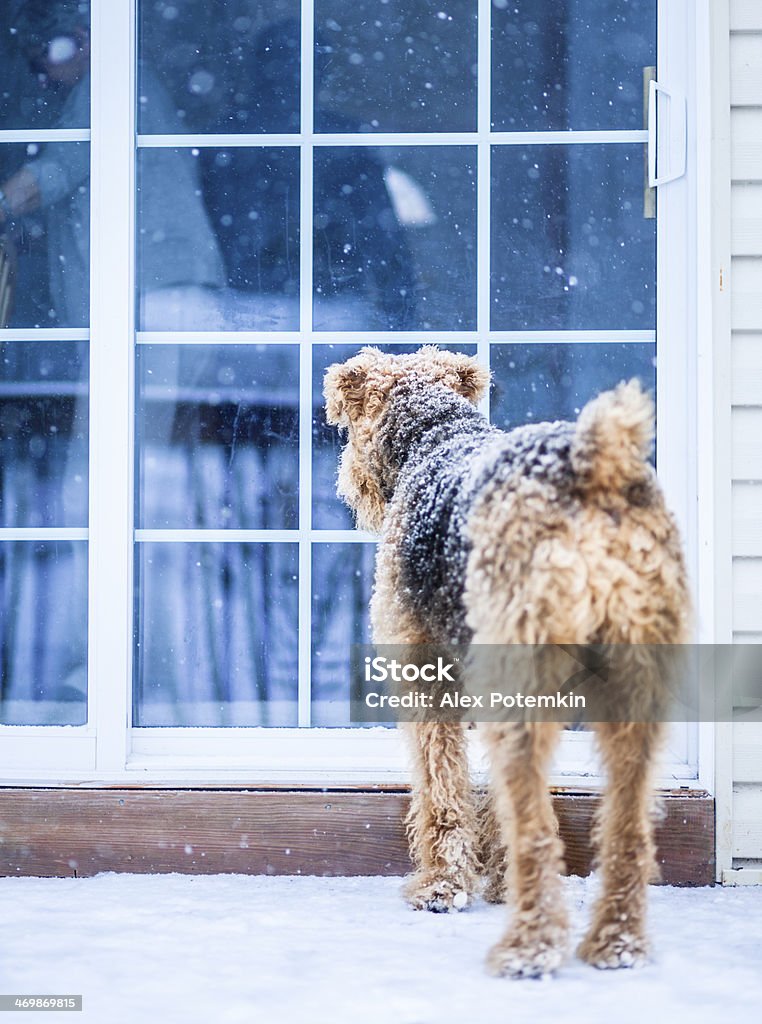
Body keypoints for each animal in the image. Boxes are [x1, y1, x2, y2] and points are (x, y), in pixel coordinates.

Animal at [321, 348, 692, 978]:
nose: (351, 483)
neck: (435, 434)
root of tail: (595, 470)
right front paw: (495, 882)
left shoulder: (427, 677)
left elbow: (442, 787)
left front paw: (442, 887)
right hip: (633, 684)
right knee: (628, 828)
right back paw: (617, 942)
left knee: (541, 829)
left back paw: (528, 947)